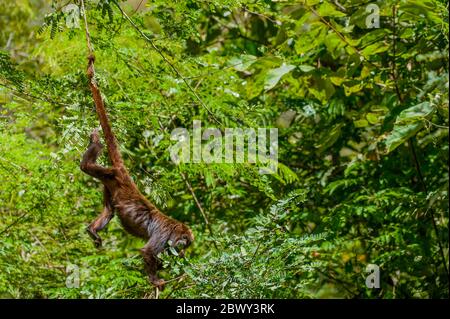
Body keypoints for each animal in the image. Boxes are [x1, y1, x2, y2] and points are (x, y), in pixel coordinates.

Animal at [81, 55, 193, 290]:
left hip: (110, 186)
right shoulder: (164, 233)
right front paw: (155, 280)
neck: (173, 228)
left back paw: (93, 230)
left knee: (109, 211)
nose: (183, 246)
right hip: (112, 174)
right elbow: (149, 252)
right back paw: (94, 144)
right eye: (184, 239)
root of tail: (124, 174)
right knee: (87, 167)